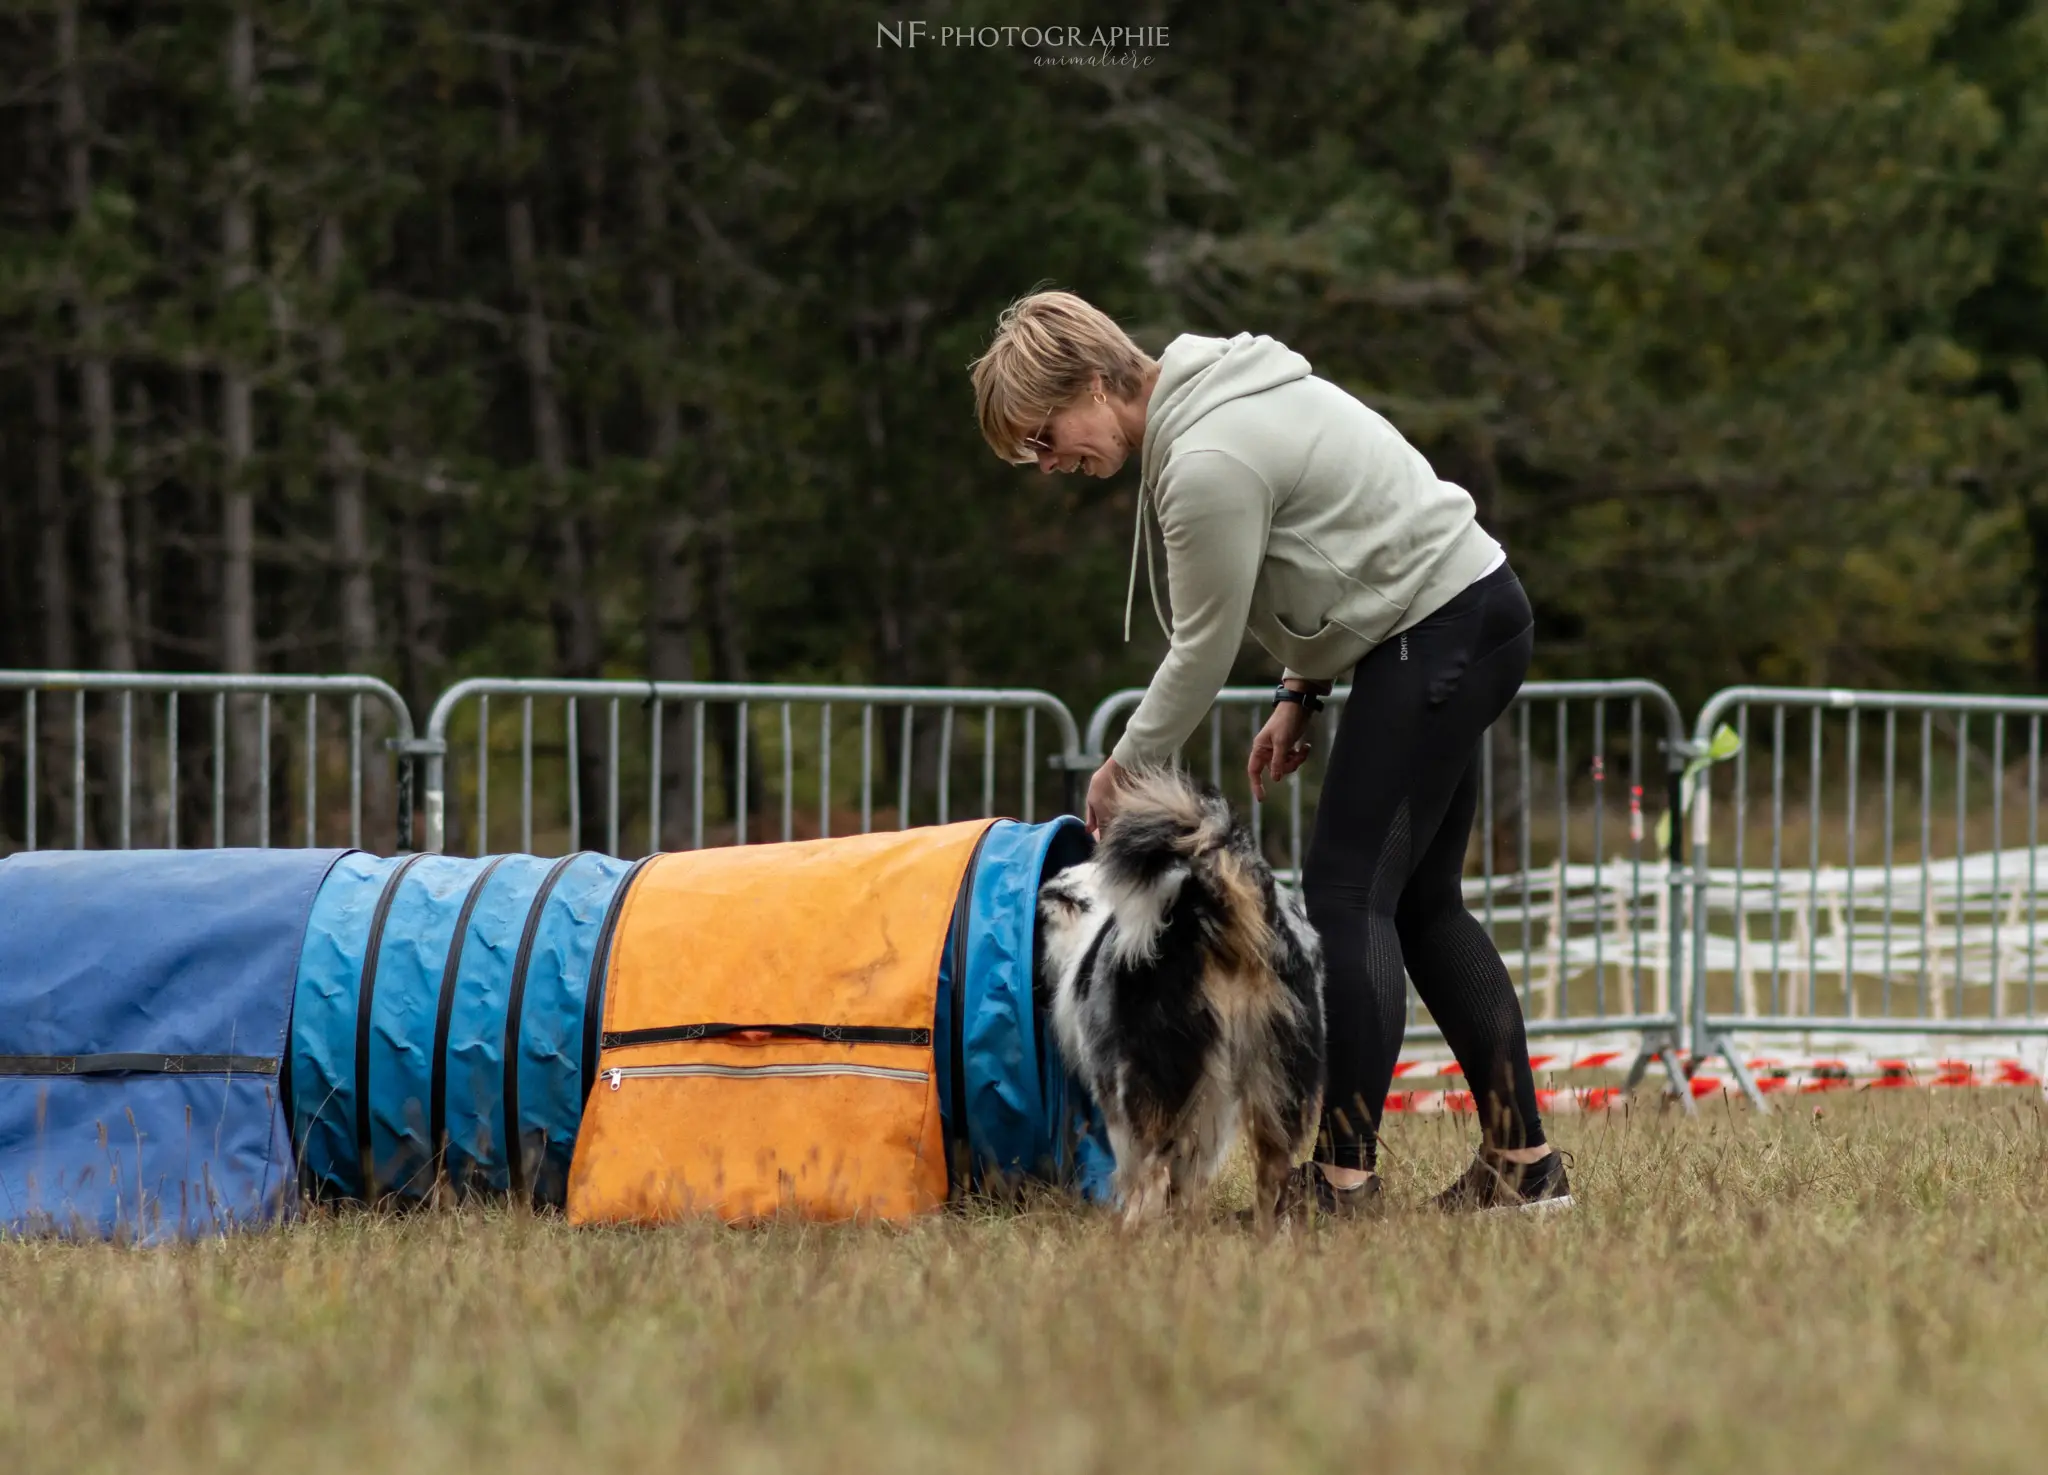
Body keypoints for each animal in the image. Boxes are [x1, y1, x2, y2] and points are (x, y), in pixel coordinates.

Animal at [1040, 770, 1327, 1229]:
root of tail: (1206, 904)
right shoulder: (1213, 1103)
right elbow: (1190, 1171)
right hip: (1279, 1071)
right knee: (1274, 1173)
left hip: (1151, 1071)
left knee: (1152, 1168)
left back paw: (1130, 1231)